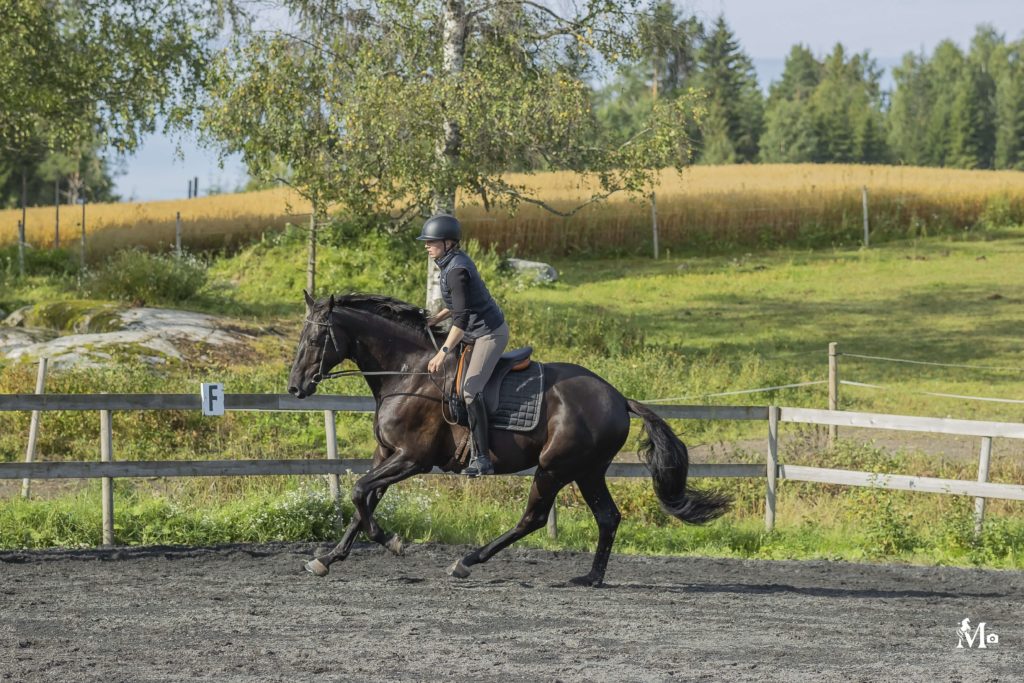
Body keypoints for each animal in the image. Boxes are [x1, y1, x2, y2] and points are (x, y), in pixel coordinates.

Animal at [288, 290, 729, 585]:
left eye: (315, 339)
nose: (295, 388)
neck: (407, 371)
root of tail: (619, 398)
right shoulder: (387, 455)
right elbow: (363, 499)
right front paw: (328, 558)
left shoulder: (411, 458)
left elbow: (360, 493)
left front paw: (392, 542)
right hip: (588, 470)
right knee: (607, 517)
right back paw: (591, 577)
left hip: (555, 467)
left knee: (534, 518)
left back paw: (467, 561)